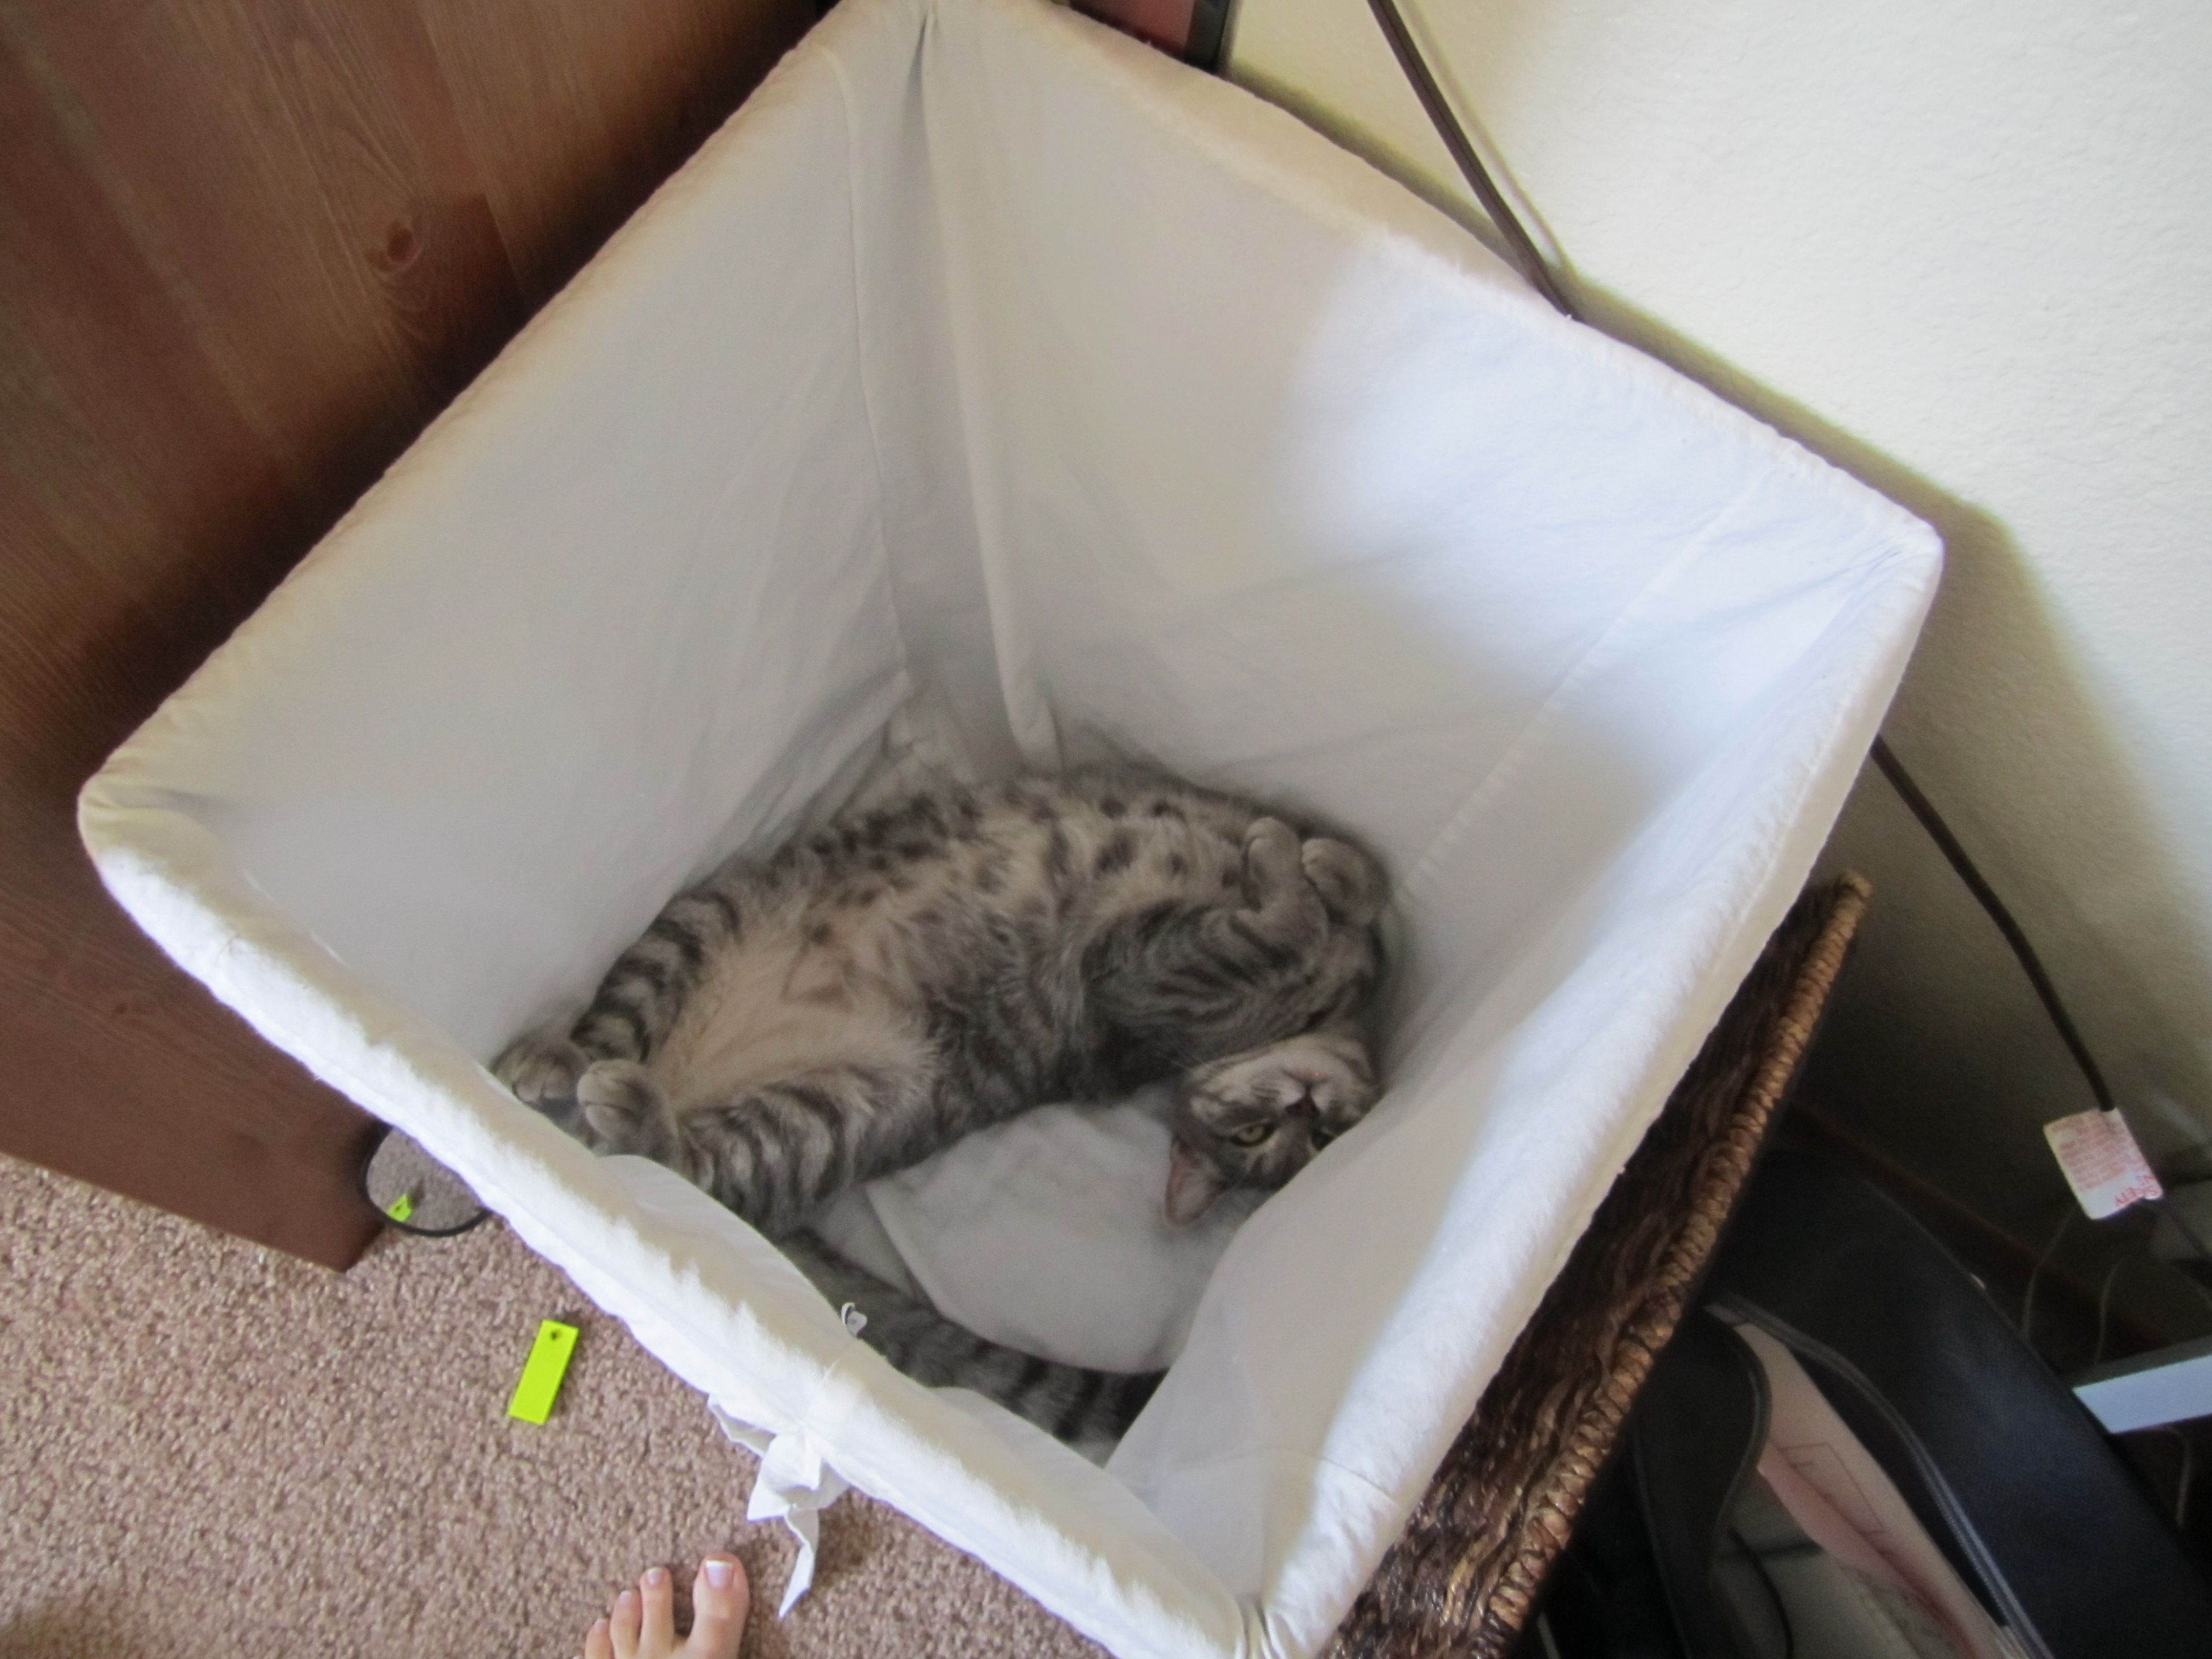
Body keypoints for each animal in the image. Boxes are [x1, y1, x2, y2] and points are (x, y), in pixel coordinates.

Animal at [495, 767, 1387, 1454]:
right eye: (1260, 1133)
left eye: (1315, 1139)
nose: (1308, 1107)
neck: (1327, 1010)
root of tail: (684, 1082)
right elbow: (1352, 895)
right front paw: (1327, 868)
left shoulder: (1141, 973)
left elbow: (1282, 928)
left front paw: (1300, 877)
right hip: (695, 925)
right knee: (607, 1030)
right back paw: (549, 1062)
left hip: (841, 1110)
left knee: (678, 1163)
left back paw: (625, 1108)